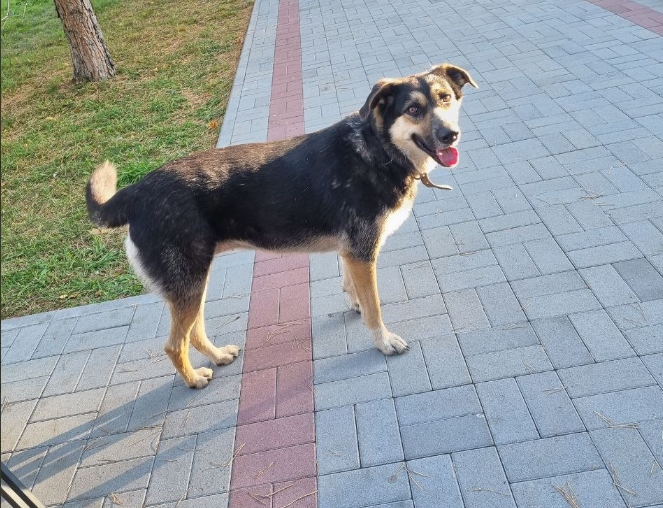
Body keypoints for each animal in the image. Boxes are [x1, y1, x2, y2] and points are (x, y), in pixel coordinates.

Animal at [86, 63, 477, 388]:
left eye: (444, 98)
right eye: (413, 109)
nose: (451, 135)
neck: (377, 150)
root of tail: (135, 192)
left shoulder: (351, 253)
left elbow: (353, 288)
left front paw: (355, 304)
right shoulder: (363, 252)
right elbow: (375, 307)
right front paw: (384, 341)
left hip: (193, 283)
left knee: (193, 332)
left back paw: (217, 357)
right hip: (188, 283)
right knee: (173, 344)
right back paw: (194, 379)